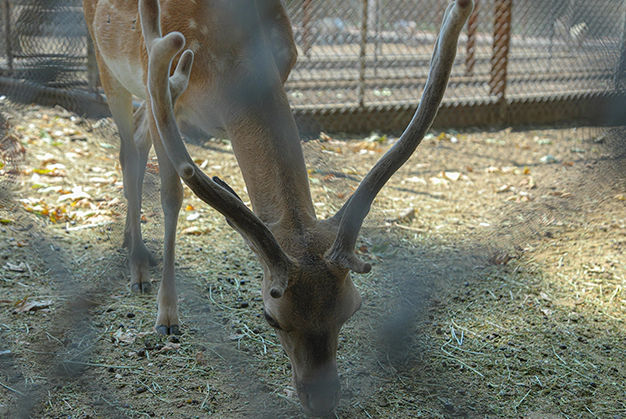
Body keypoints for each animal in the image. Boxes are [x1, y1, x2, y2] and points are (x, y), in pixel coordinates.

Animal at [83, 0, 470, 416]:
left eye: (352, 308)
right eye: (271, 318)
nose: (322, 401)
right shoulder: (162, 92)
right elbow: (172, 197)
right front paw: (167, 316)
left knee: (136, 138)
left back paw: (130, 244)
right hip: (109, 66)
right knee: (127, 148)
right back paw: (138, 265)